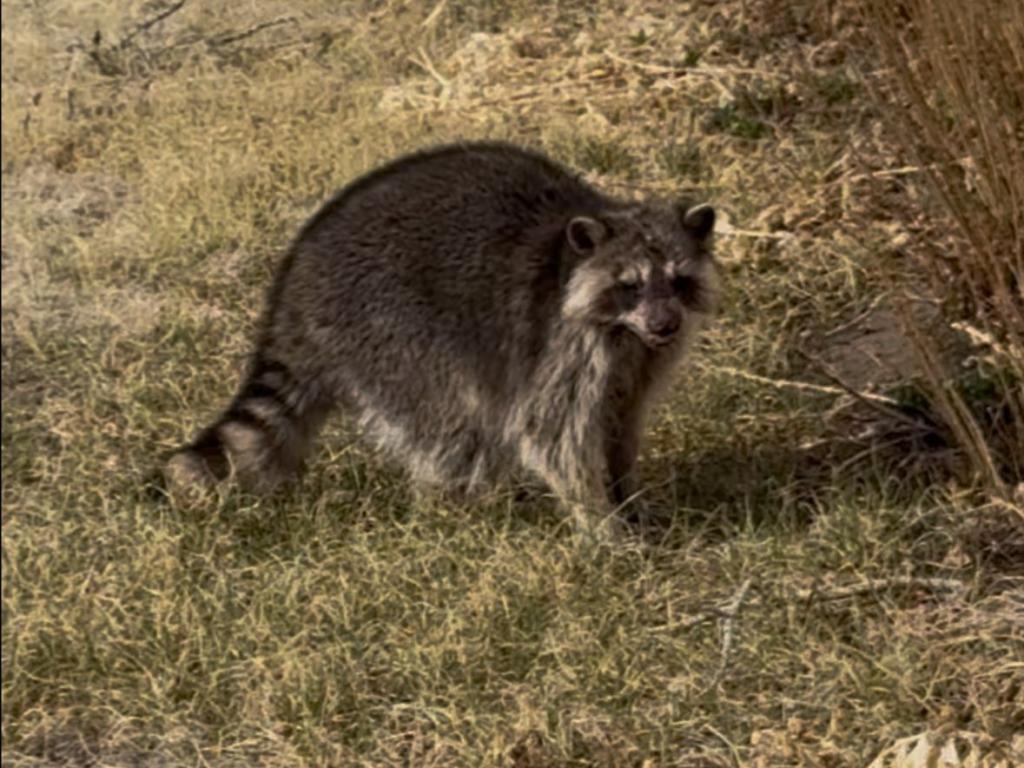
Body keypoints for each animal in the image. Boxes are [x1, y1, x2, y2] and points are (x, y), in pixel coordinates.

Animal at [164, 141, 718, 539]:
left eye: (677, 280)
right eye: (630, 285)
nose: (666, 324)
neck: (623, 330)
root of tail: (296, 283)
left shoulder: (641, 360)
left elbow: (621, 420)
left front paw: (628, 495)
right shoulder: (561, 346)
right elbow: (556, 434)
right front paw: (600, 522)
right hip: (391, 327)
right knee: (453, 422)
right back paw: (457, 505)